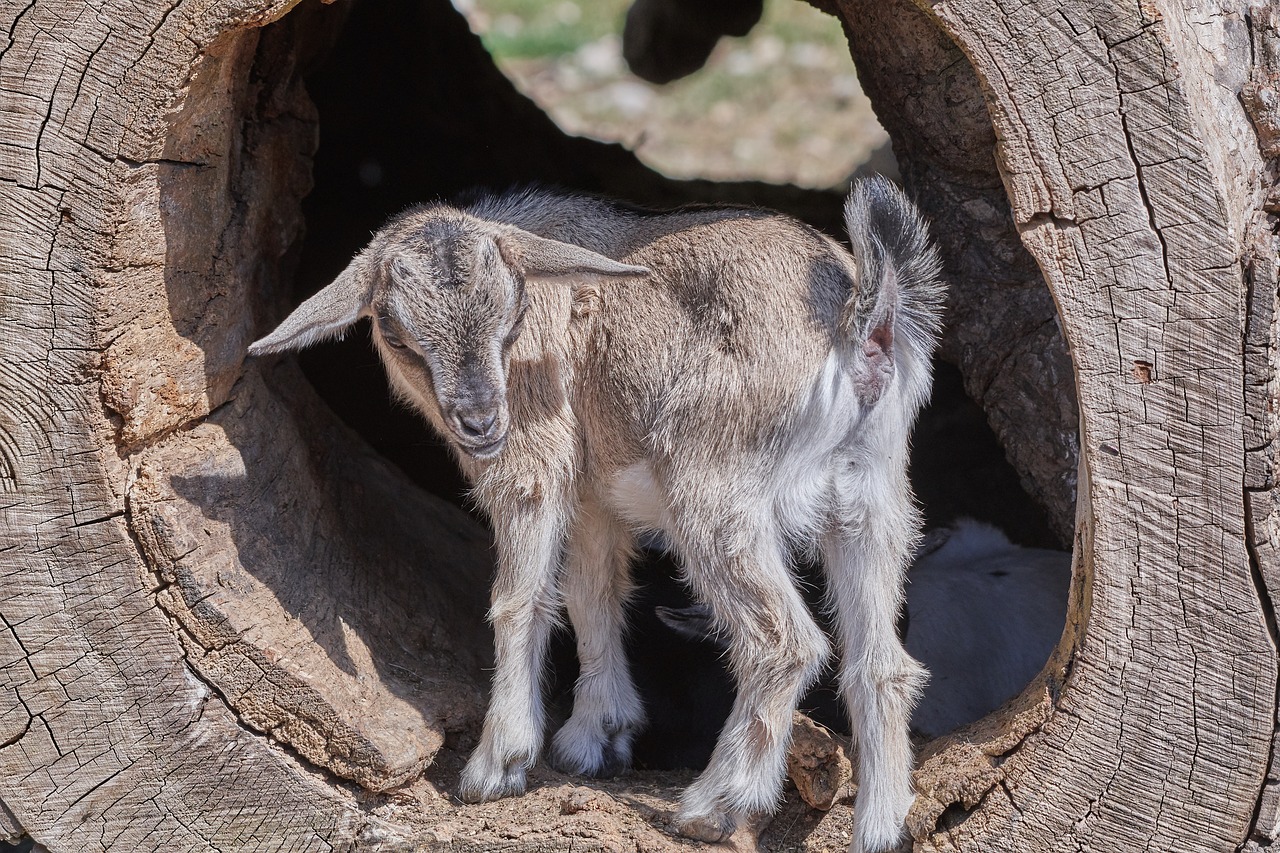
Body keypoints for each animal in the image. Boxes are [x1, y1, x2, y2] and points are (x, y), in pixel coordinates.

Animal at [252, 175, 952, 845]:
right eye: (395, 333)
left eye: (511, 315)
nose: (481, 422)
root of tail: (858, 320)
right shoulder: (593, 496)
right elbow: (591, 594)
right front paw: (595, 738)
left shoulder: (534, 465)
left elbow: (521, 597)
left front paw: (496, 766)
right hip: (872, 500)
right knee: (882, 665)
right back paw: (879, 827)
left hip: (716, 495)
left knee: (785, 642)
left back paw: (712, 806)